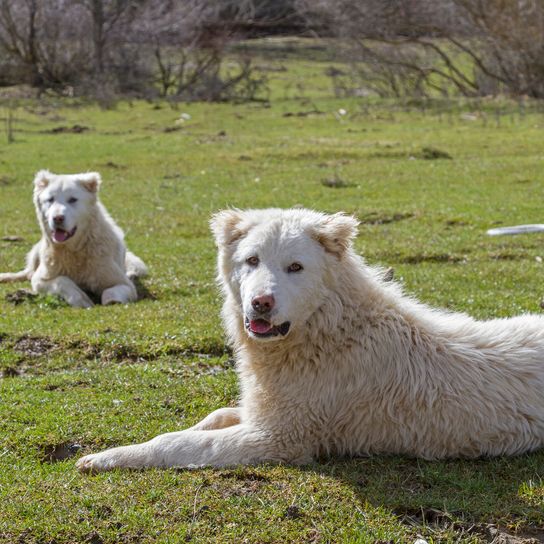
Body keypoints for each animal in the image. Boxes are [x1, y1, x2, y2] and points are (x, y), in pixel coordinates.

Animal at [0, 170, 148, 306]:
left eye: (72, 200)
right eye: (50, 200)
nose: (57, 218)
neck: (74, 250)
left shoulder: (125, 284)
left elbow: (110, 291)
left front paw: (111, 301)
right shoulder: (40, 279)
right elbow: (62, 281)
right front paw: (81, 299)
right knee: (27, 273)